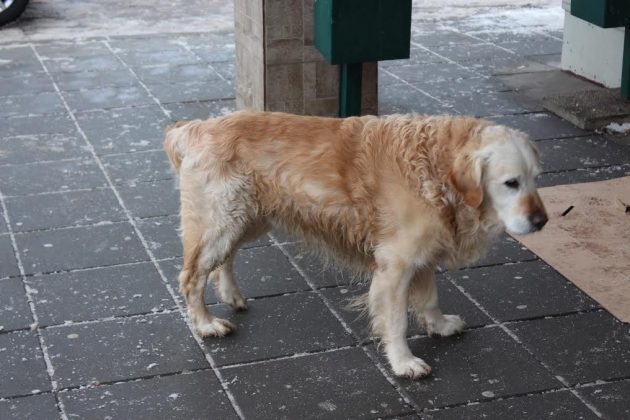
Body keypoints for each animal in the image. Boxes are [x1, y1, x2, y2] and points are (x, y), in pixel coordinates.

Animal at [164, 111, 547, 379]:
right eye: (511, 183)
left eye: (535, 179)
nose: (542, 221)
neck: (434, 168)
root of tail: (195, 127)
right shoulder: (395, 265)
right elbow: (396, 320)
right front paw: (404, 362)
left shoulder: (421, 256)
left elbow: (429, 298)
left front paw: (439, 325)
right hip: (221, 221)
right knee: (192, 276)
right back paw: (206, 324)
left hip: (247, 219)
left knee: (225, 260)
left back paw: (232, 295)